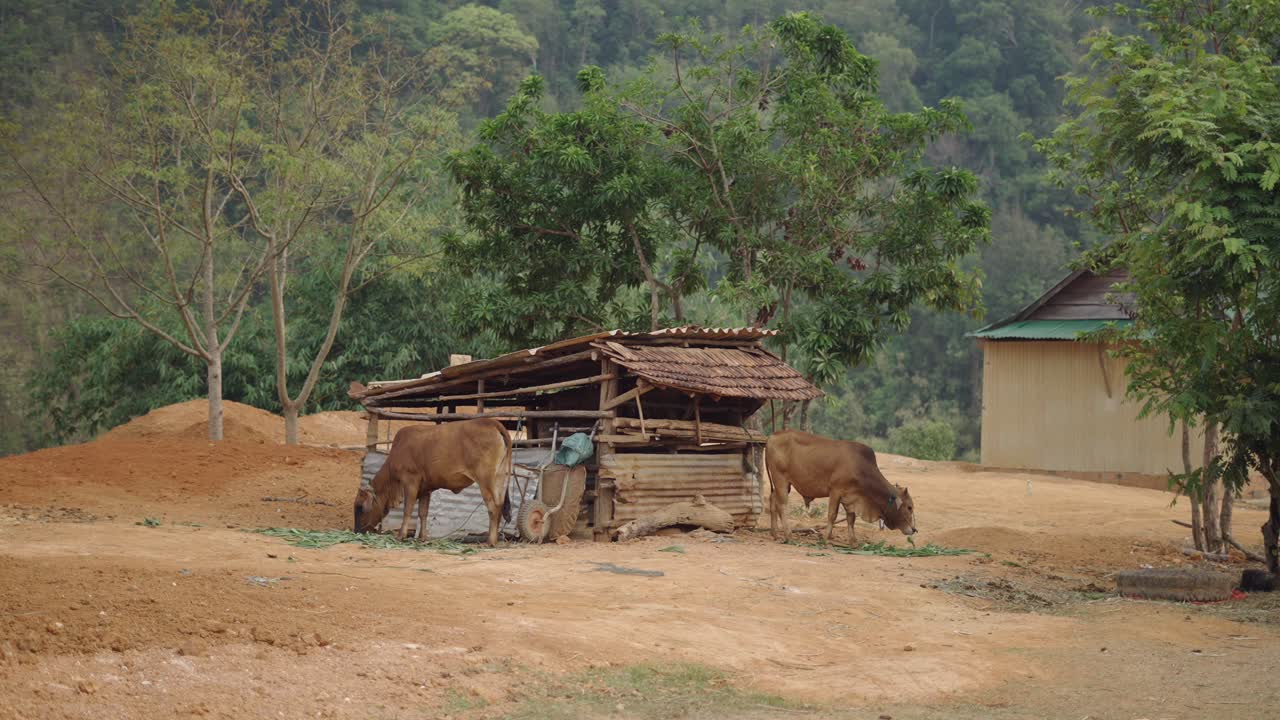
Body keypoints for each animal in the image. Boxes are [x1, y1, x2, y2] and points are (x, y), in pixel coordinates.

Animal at [353, 419, 513, 546]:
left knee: (493, 507)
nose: (356, 531)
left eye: (360, 507)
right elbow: (423, 513)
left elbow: (408, 509)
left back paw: (490, 541)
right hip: (499, 478)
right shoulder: (426, 489)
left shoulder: (410, 481)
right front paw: (422, 538)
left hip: (485, 480)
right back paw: (495, 539)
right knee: (499, 505)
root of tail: (492, 422)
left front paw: (401, 536)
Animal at [765, 429, 917, 546]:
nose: (914, 530)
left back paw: (775, 534)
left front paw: (853, 541)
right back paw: (788, 535)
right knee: (782, 506)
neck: (860, 468)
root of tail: (772, 436)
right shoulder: (835, 491)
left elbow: (851, 518)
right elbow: (832, 515)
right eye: (909, 507)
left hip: (784, 484)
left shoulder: (850, 497)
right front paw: (826, 539)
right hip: (780, 479)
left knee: (772, 500)